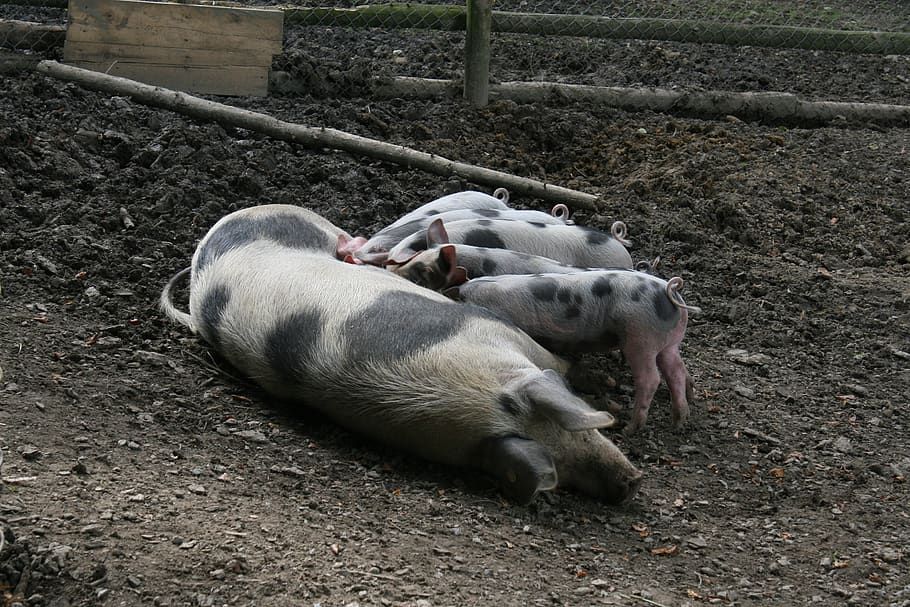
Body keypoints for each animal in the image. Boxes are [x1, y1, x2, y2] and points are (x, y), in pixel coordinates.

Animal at [160, 204, 644, 504]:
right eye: (569, 445)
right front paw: (607, 393)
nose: (631, 482)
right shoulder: (495, 330)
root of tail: (213, 235)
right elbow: (558, 362)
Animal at [452, 272, 700, 436]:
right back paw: (679, 421)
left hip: (640, 337)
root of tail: (669, 291)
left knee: (650, 379)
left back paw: (630, 429)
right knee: (676, 371)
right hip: (667, 342)